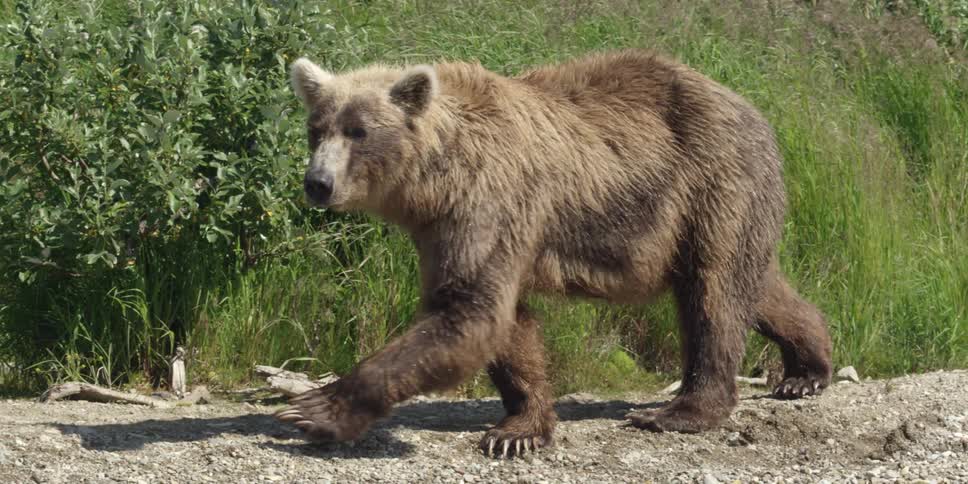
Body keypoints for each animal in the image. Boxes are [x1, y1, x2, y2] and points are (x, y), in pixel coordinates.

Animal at [275, 49, 833, 457]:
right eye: (315, 130)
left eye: (359, 130)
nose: (317, 183)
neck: (435, 178)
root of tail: (753, 111)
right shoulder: (449, 228)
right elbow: (503, 323)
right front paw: (519, 428)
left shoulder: (488, 200)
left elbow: (466, 311)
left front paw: (309, 409)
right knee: (757, 287)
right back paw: (806, 372)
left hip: (713, 182)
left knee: (713, 294)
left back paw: (677, 411)